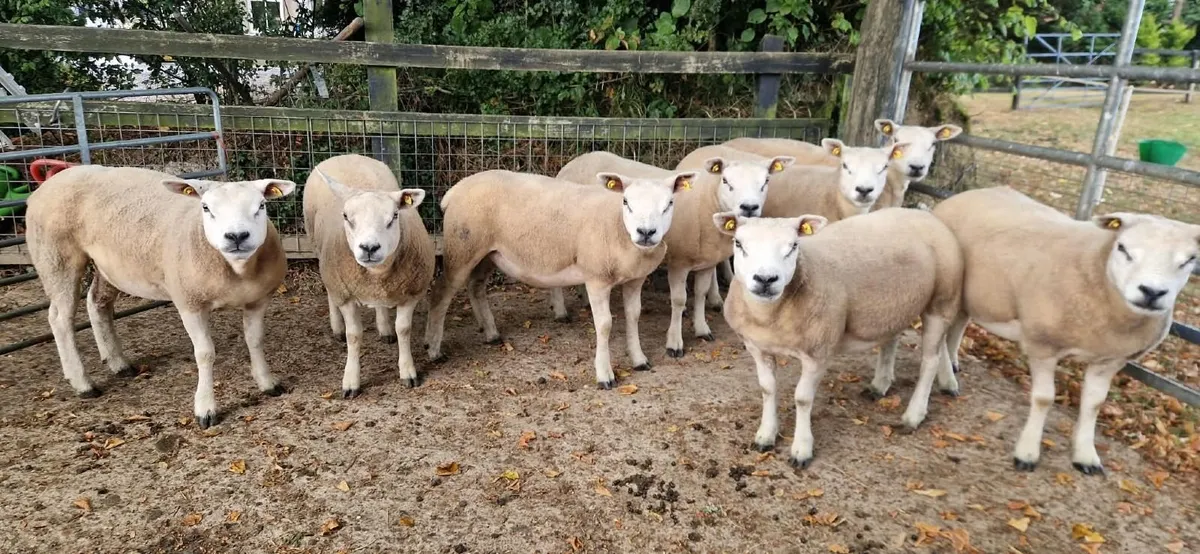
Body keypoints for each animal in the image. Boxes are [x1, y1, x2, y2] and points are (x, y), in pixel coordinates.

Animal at [24, 165, 297, 429]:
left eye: (261, 206)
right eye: (206, 207)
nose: (237, 236)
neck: (237, 270)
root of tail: (50, 182)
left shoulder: (258, 300)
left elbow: (255, 340)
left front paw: (267, 383)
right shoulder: (190, 303)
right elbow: (205, 353)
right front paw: (205, 408)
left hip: (110, 266)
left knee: (97, 303)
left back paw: (118, 363)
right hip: (56, 257)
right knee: (60, 319)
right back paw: (82, 383)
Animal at [303, 154, 436, 398]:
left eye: (394, 216)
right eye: (346, 216)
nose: (369, 248)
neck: (378, 273)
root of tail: (347, 155)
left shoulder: (411, 293)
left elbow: (404, 330)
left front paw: (408, 372)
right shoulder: (345, 295)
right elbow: (354, 336)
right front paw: (351, 381)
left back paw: (384, 329)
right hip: (319, 251)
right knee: (330, 292)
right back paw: (336, 327)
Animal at [423, 168, 695, 388]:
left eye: (669, 203)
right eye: (626, 201)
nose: (646, 232)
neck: (619, 227)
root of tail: (455, 190)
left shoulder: (634, 279)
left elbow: (634, 316)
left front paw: (639, 360)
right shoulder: (596, 278)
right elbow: (604, 324)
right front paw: (605, 375)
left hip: (490, 254)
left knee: (476, 286)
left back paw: (491, 333)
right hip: (463, 247)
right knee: (441, 293)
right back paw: (434, 349)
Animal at [715, 208, 963, 468]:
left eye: (794, 245)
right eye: (738, 243)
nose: (765, 279)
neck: (770, 316)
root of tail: (925, 214)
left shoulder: (818, 353)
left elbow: (802, 399)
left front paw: (801, 449)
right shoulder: (757, 347)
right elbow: (767, 389)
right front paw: (766, 435)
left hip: (942, 300)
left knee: (930, 360)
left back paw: (914, 414)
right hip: (895, 307)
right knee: (894, 340)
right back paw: (882, 385)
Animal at [932, 186, 1198, 474]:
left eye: (1190, 259)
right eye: (1123, 248)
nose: (1152, 292)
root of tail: (968, 193)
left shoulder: (1111, 359)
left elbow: (1094, 404)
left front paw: (1086, 456)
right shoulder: (1042, 344)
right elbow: (1044, 399)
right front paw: (1027, 454)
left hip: (974, 298)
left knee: (959, 326)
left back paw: (953, 364)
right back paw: (947, 380)